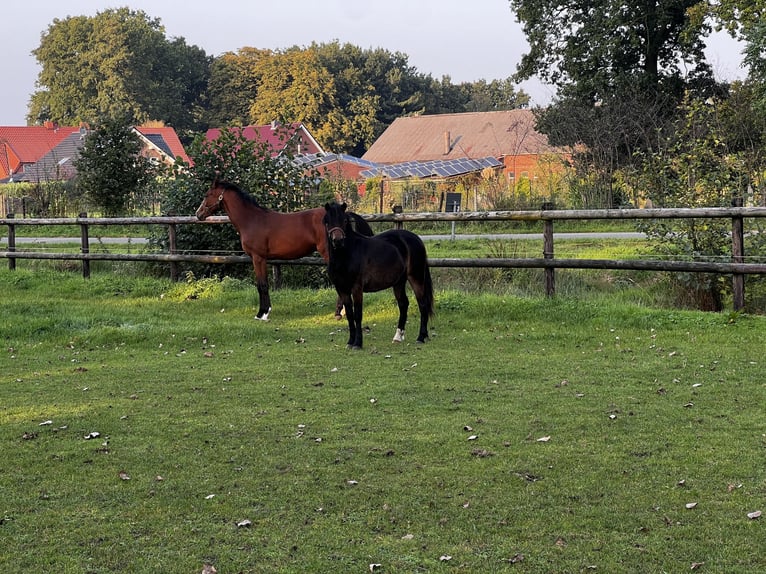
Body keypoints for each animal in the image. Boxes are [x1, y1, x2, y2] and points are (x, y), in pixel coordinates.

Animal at [196, 182, 374, 322]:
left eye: (207, 194)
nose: (199, 214)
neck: (252, 219)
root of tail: (343, 214)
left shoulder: (258, 258)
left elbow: (262, 285)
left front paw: (262, 313)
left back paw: (338, 312)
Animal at [320, 202, 436, 352]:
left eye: (344, 220)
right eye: (327, 221)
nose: (338, 241)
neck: (346, 255)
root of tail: (416, 239)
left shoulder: (356, 288)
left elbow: (357, 315)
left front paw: (358, 343)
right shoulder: (341, 289)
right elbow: (350, 315)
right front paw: (350, 342)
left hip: (416, 278)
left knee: (422, 304)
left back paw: (421, 337)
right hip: (399, 282)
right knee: (403, 304)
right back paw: (398, 337)